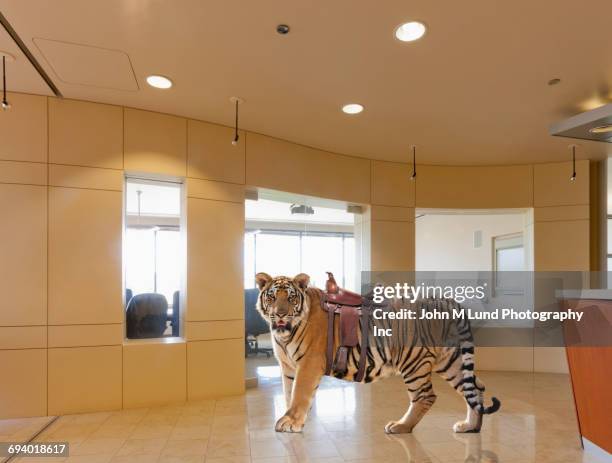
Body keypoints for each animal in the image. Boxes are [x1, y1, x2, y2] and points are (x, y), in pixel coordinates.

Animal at [256, 272, 500, 436]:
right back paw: (470, 427)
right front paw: (290, 419)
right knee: (475, 387)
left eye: (290, 298)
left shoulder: (309, 363)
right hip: (451, 361)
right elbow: (289, 393)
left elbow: (299, 394)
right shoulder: (288, 367)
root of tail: (449, 302)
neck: (285, 333)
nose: (280, 314)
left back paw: (401, 426)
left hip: (414, 361)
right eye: (272, 297)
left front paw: (290, 422)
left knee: (425, 396)